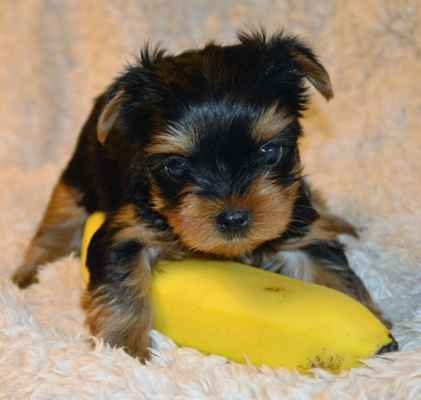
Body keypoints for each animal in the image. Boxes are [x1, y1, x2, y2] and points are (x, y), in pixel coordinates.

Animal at [11, 30, 392, 360]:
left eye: (270, 151)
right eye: (176, 166)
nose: (234, 217)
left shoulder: (298, 226)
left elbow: (330, 267)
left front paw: (373, 323)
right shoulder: (127, 229)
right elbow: (121, 284)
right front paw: (123, 351)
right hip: (81, 174)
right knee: (58, 218)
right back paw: (29, 272)